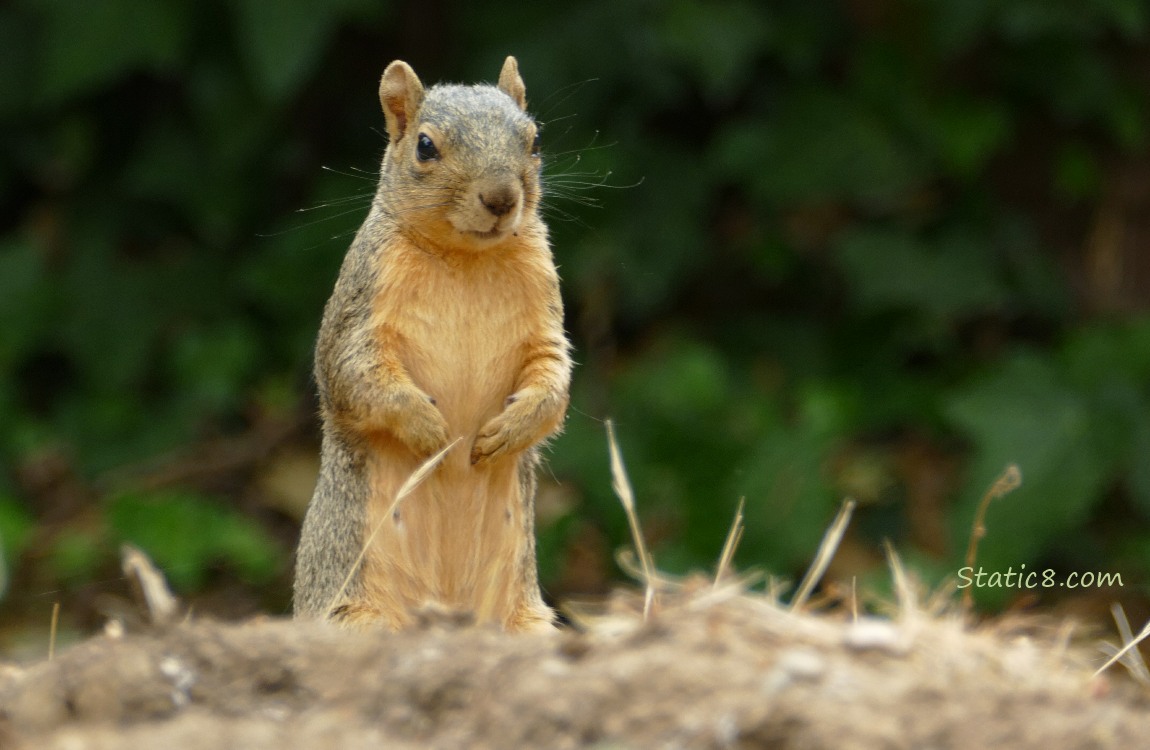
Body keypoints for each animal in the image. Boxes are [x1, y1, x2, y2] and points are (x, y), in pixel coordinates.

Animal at [292, 56, 572, 633]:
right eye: (425, 147)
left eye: (534, 140)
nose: (501, 198)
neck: (466, 259)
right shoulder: (361, 309)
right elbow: (355, 374)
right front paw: (430, 430)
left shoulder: (546, 317)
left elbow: (554, 378)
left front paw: (511, 429)